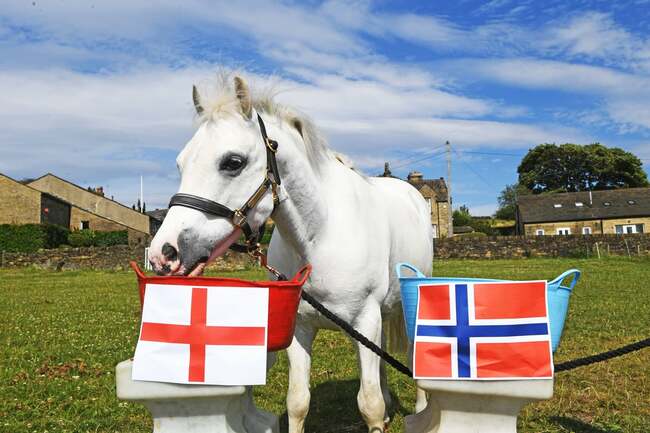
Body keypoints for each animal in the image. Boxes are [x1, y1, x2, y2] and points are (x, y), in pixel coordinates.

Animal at [148, 74, 433, 433]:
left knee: (410, 354)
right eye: (181, 163)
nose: (163, 253)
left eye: (233, 162)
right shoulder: (300, 328)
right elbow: (298, 402)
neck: (319, 237)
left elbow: (368, 403)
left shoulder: (366, 319)